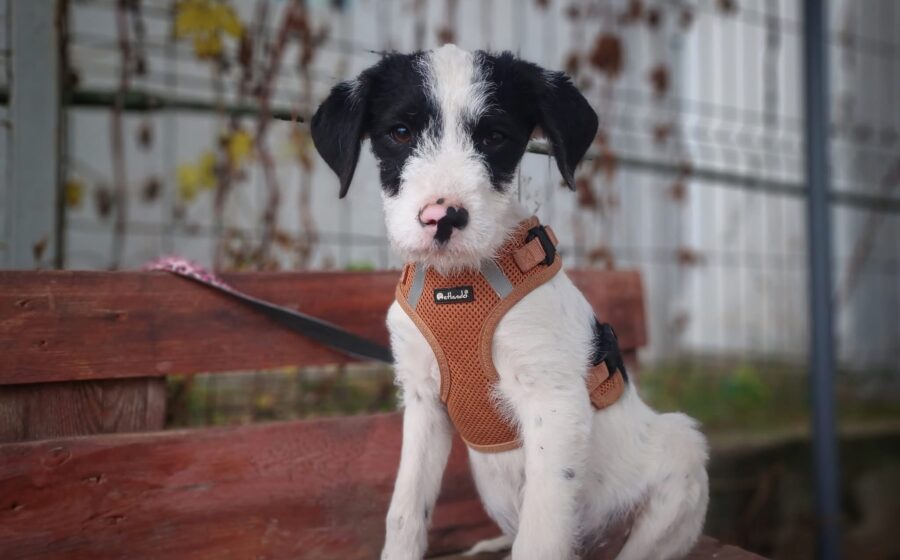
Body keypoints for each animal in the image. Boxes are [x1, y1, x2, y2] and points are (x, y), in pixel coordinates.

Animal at [311, 44, 709, 560]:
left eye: (494, 136)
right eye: (400, 132)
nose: (442, 217)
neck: (458, 285)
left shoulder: (553, 402)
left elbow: (540, 536)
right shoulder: (422, 401)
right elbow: (404, 511)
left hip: (681, 450)